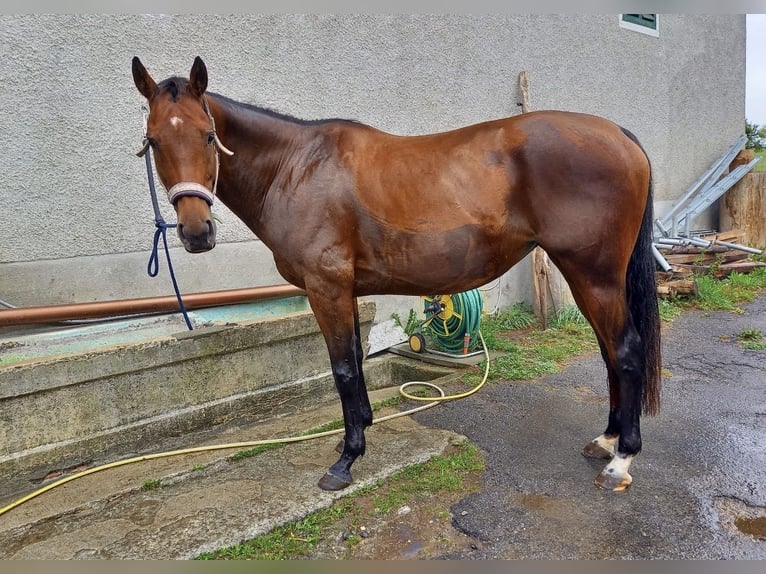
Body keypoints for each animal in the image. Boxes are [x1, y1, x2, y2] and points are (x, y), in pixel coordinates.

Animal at [131, 56, 661, 493]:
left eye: (208, 135)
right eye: (153, 142)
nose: (196, 232)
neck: (297, 167)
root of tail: (620, 135)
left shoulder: (326, 289)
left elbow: (344, 368)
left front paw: (345, 462)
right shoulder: (343, 291)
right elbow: (354, 362)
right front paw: (356, 436)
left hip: (592, 275)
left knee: (625, 351)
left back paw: (622, 459)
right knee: (609, 352)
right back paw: (606, 440)